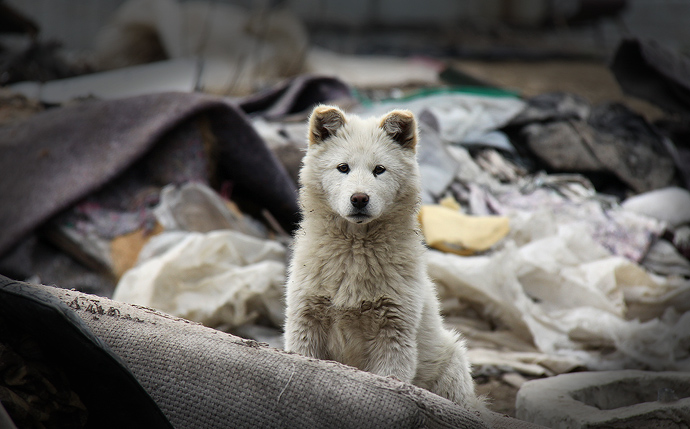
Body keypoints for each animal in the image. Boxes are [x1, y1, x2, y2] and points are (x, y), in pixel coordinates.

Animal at [282, 104, 482, 408]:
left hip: (453, 363)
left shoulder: (395, 334)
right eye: (343, 167)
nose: (359, 199)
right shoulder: (305, 321)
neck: (354, 251)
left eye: (379, 170)